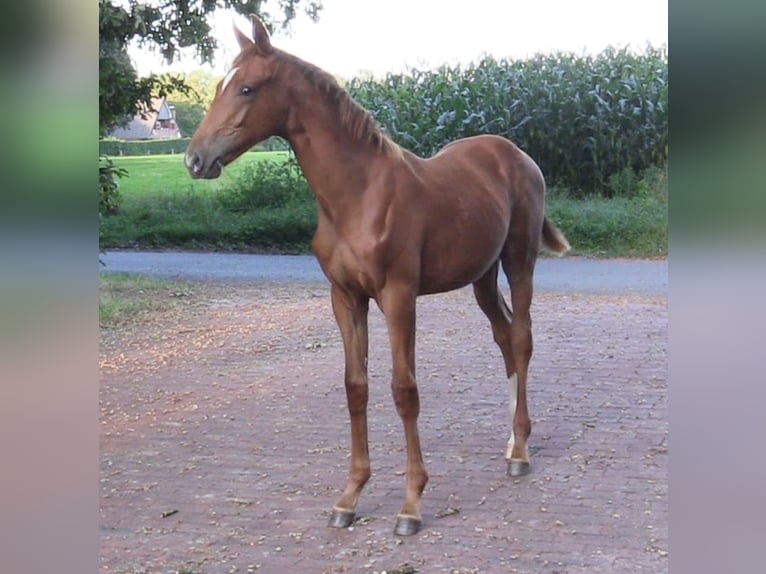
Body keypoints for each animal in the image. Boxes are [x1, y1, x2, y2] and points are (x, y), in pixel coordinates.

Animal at [186, 13, 568, 536]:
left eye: (246, 88)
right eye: (222, 83)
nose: (195, 159)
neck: (359, 195)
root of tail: (517, 155)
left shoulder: (398, 296)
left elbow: (404, 389)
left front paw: (411, 505)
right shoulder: (345, 297)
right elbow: (356, 387)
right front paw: (349, 498)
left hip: (518, 262)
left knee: (524, 338)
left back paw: (522, 452)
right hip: (482, 277)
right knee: (506, 337)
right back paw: (511, 443)